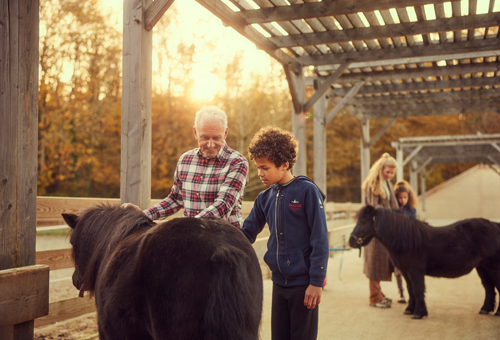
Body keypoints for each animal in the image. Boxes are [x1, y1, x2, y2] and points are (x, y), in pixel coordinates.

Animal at [348, 206, 500, 320]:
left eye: (363, 220)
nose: (351, 241)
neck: (407, 240)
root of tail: (495, 226)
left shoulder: (415, 272)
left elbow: (418, 289)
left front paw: (419, 313)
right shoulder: (406, 272)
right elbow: (410, 290)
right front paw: (410, 309)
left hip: (493, 267)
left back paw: (497, 313)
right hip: (482, 267)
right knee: (489, 288)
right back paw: (485, 309)